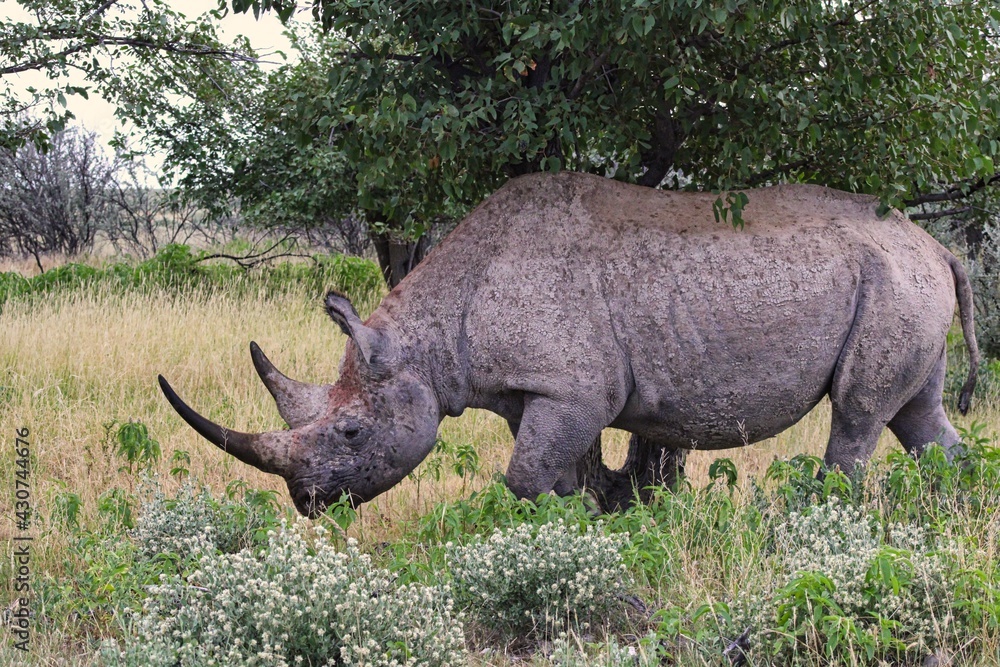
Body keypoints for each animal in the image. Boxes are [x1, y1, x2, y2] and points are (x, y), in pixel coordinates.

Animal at [159, 172, 979, 516]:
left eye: (354, 432)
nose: (307, 503)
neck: (429, 340)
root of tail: (939, 246)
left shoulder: (574, 386)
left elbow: (524, 477)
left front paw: (569, 524)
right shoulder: (541, 390)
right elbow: (551, 470)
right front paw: (583, 518)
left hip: (892, 282)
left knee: (859, 412)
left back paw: (815, 520)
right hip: (904, 283)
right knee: (918, 415)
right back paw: (958, 510)